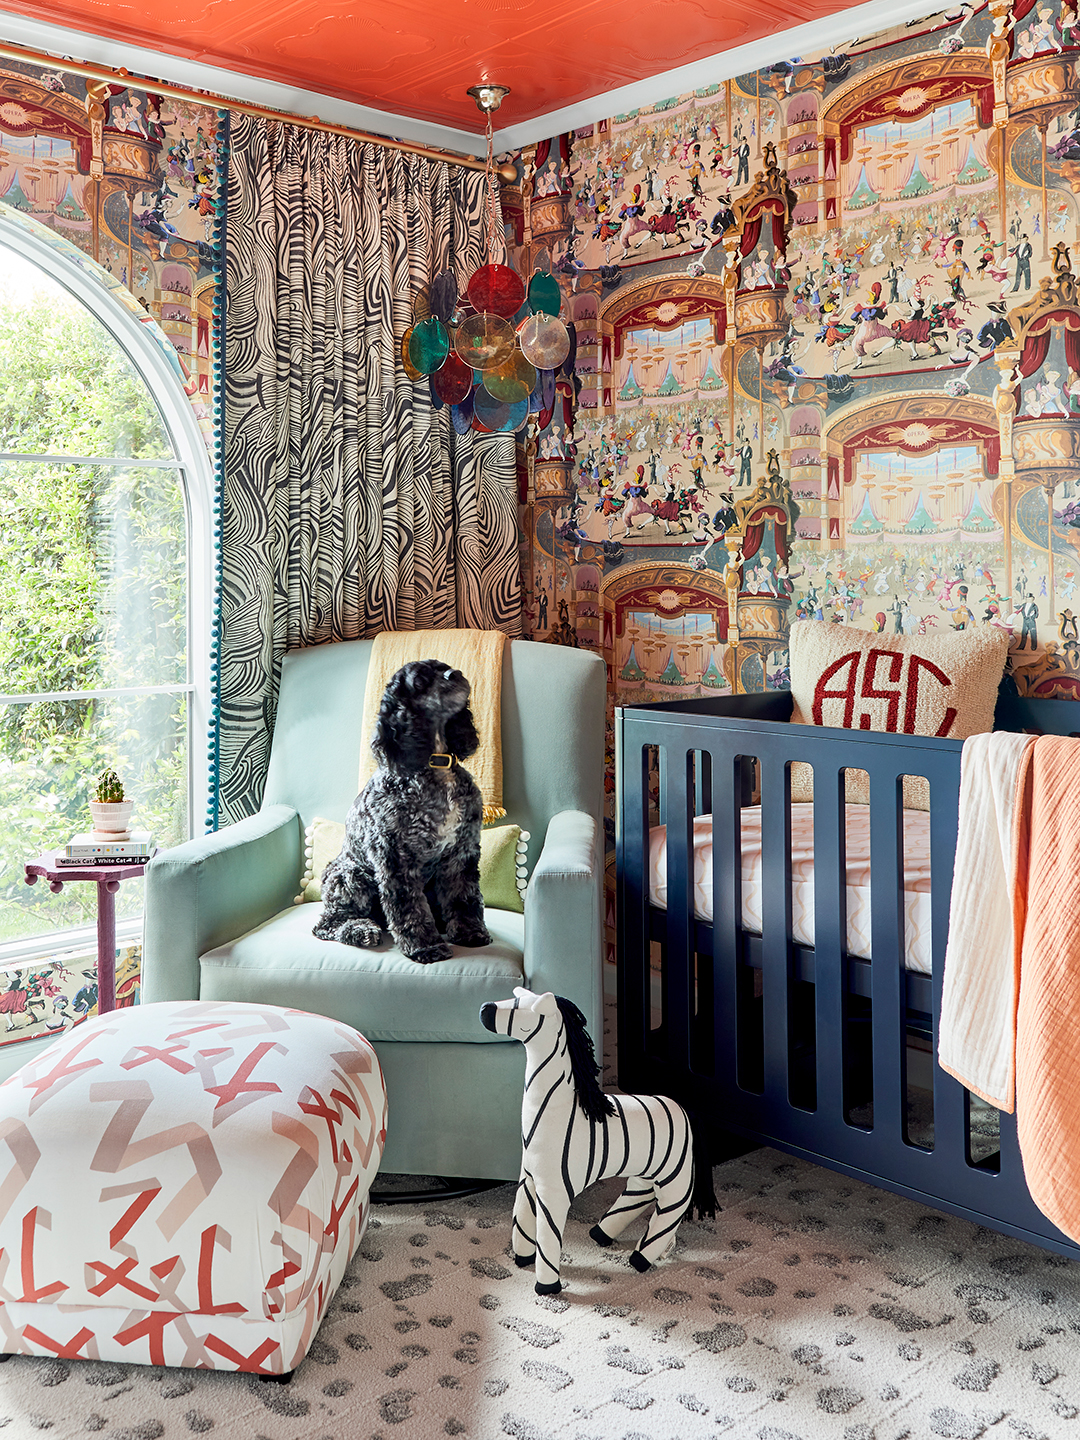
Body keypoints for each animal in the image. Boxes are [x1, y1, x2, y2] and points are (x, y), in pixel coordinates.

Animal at [312, 662, 495, 967]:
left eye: (444, 667)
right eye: (419, 681)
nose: (456, 674)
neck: (434, 766)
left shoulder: (462, 852)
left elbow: (464, 897)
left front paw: (470, 932)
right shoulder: (395, 857)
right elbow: (409, 908)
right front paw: (425, 947)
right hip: (351, 875)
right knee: (327, 923)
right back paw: (361, 931)